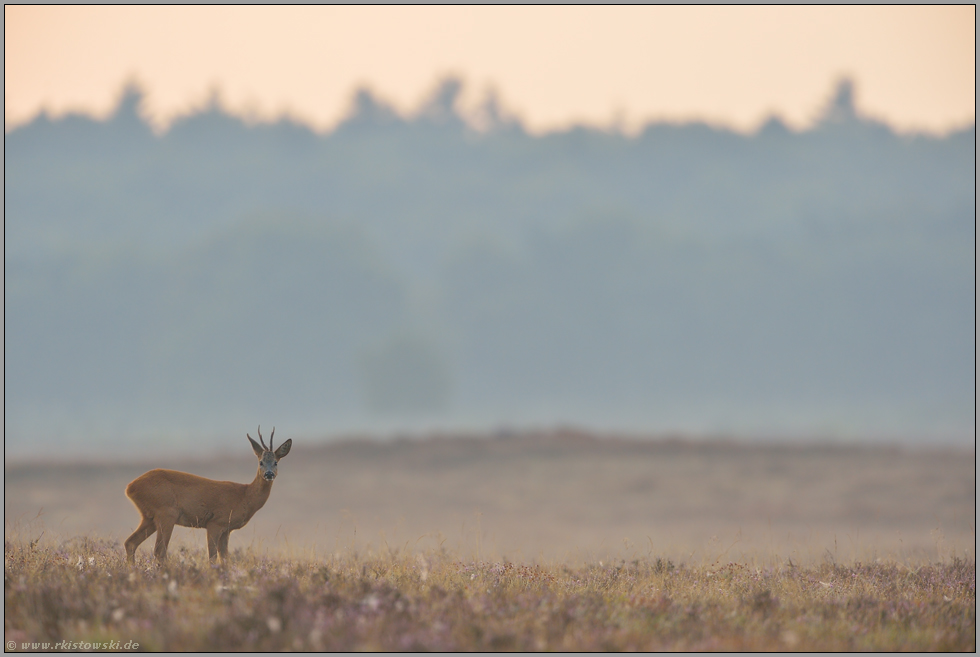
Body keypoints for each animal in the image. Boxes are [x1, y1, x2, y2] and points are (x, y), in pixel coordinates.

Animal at [124, 426, 290, 564]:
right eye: (261, 462)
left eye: (276, 462)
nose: (269, 474)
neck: (244, 496)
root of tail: (130, 487)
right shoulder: (215, 522)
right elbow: (212, 558)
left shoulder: (227, 529)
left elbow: (225, 559)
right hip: (166, 513)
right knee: (159, 551)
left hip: (149, 517)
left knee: (130, 543)